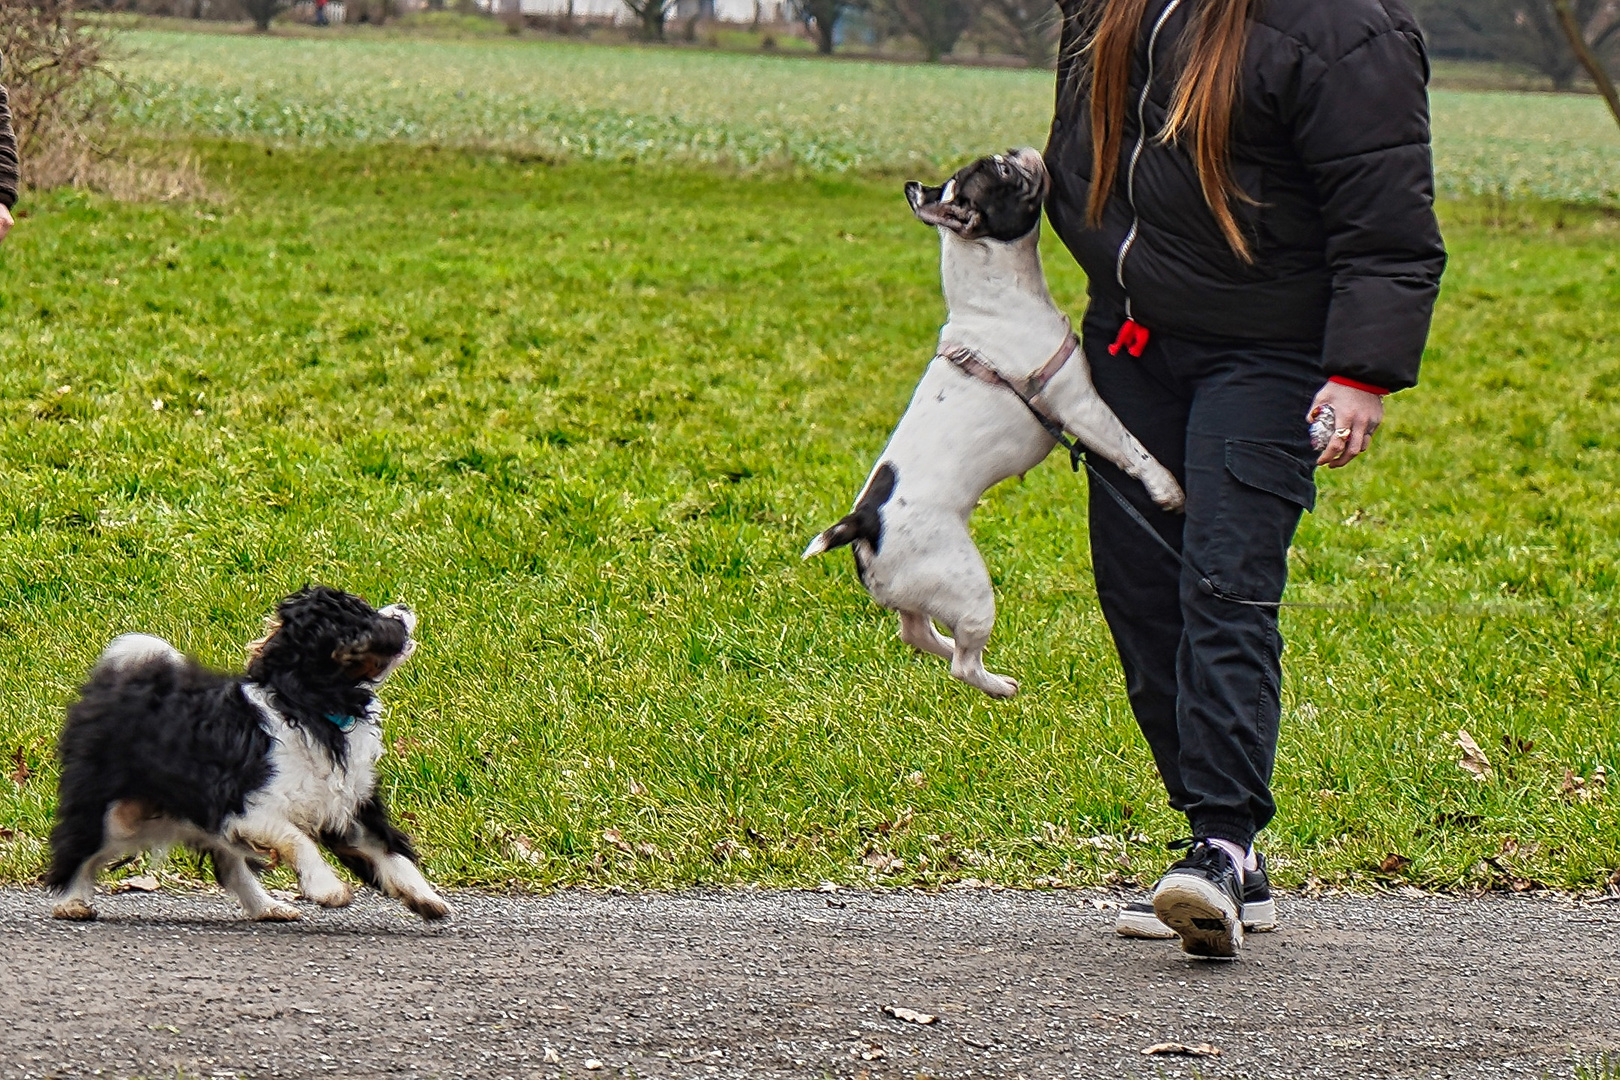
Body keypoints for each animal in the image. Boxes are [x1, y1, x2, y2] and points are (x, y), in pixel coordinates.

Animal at [44, 586, 450, 926]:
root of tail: (114, 683)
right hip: (115, 810)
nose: (403, 607)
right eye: (364, 618)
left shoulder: (348, 806)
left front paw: (425, 897)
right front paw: (327, 888)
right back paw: (70, 901)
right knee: (78, 846)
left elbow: (390, 852)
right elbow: (297, 839)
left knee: (230, 865)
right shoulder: (246, 807)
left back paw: (267, 907)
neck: (313, 708)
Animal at [803, 145, 1185, 702]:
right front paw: (1166, 488)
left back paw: (948, 651)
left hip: (921, 588)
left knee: (915, 631)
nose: (1019, 150)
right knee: (963, 662)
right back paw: (998, 685)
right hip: (969, 588)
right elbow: (1129, 447)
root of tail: (863, 523)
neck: (995, 298)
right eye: (1000, 171)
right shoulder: (1081, 407)